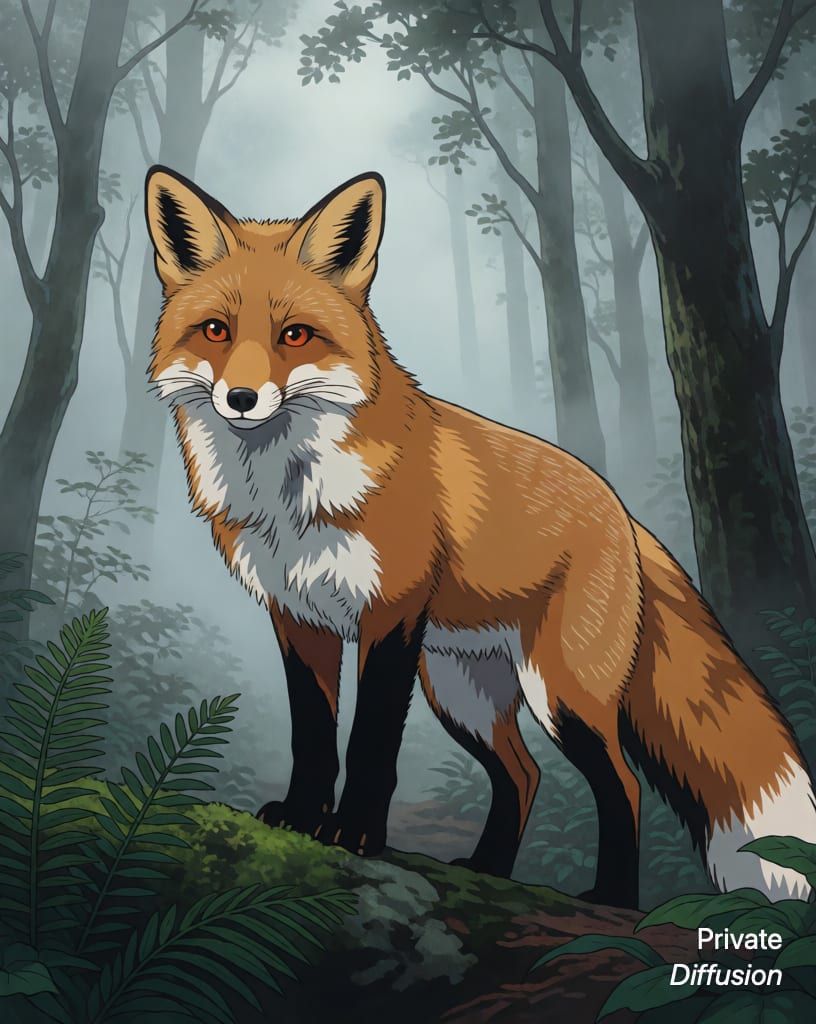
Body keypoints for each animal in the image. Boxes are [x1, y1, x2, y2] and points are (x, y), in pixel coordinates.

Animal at [144, 165, 816, 909]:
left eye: (295, 335)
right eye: (215, 330)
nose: (240, 399)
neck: (289, 495)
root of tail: (620, 509)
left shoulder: (391, 614)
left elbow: (371, 742)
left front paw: (354, 833)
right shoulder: (297, 617)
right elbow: (314, 736)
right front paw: (299, 817)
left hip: (561, 694)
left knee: (623, 784)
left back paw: (610, 899)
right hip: (460, 693)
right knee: (524, 775)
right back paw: (491, 870)